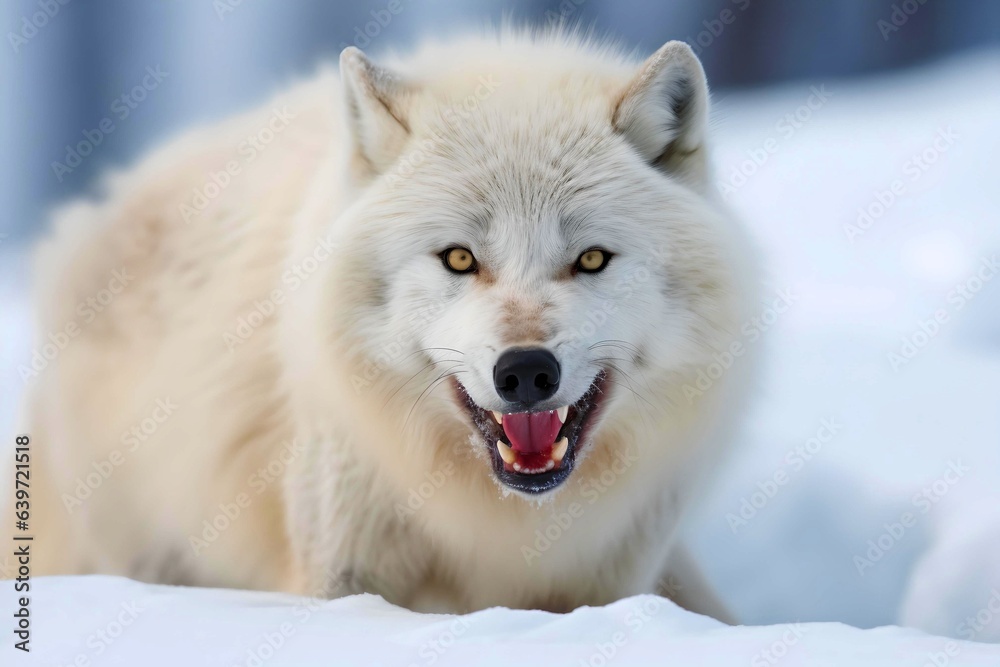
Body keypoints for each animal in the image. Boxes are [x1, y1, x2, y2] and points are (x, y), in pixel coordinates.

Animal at [13, 30, 759, 619]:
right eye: (459, 258)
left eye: (592, 258)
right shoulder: (341, 569)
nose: (525, 371)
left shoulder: (608, 580)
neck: (504, 526)